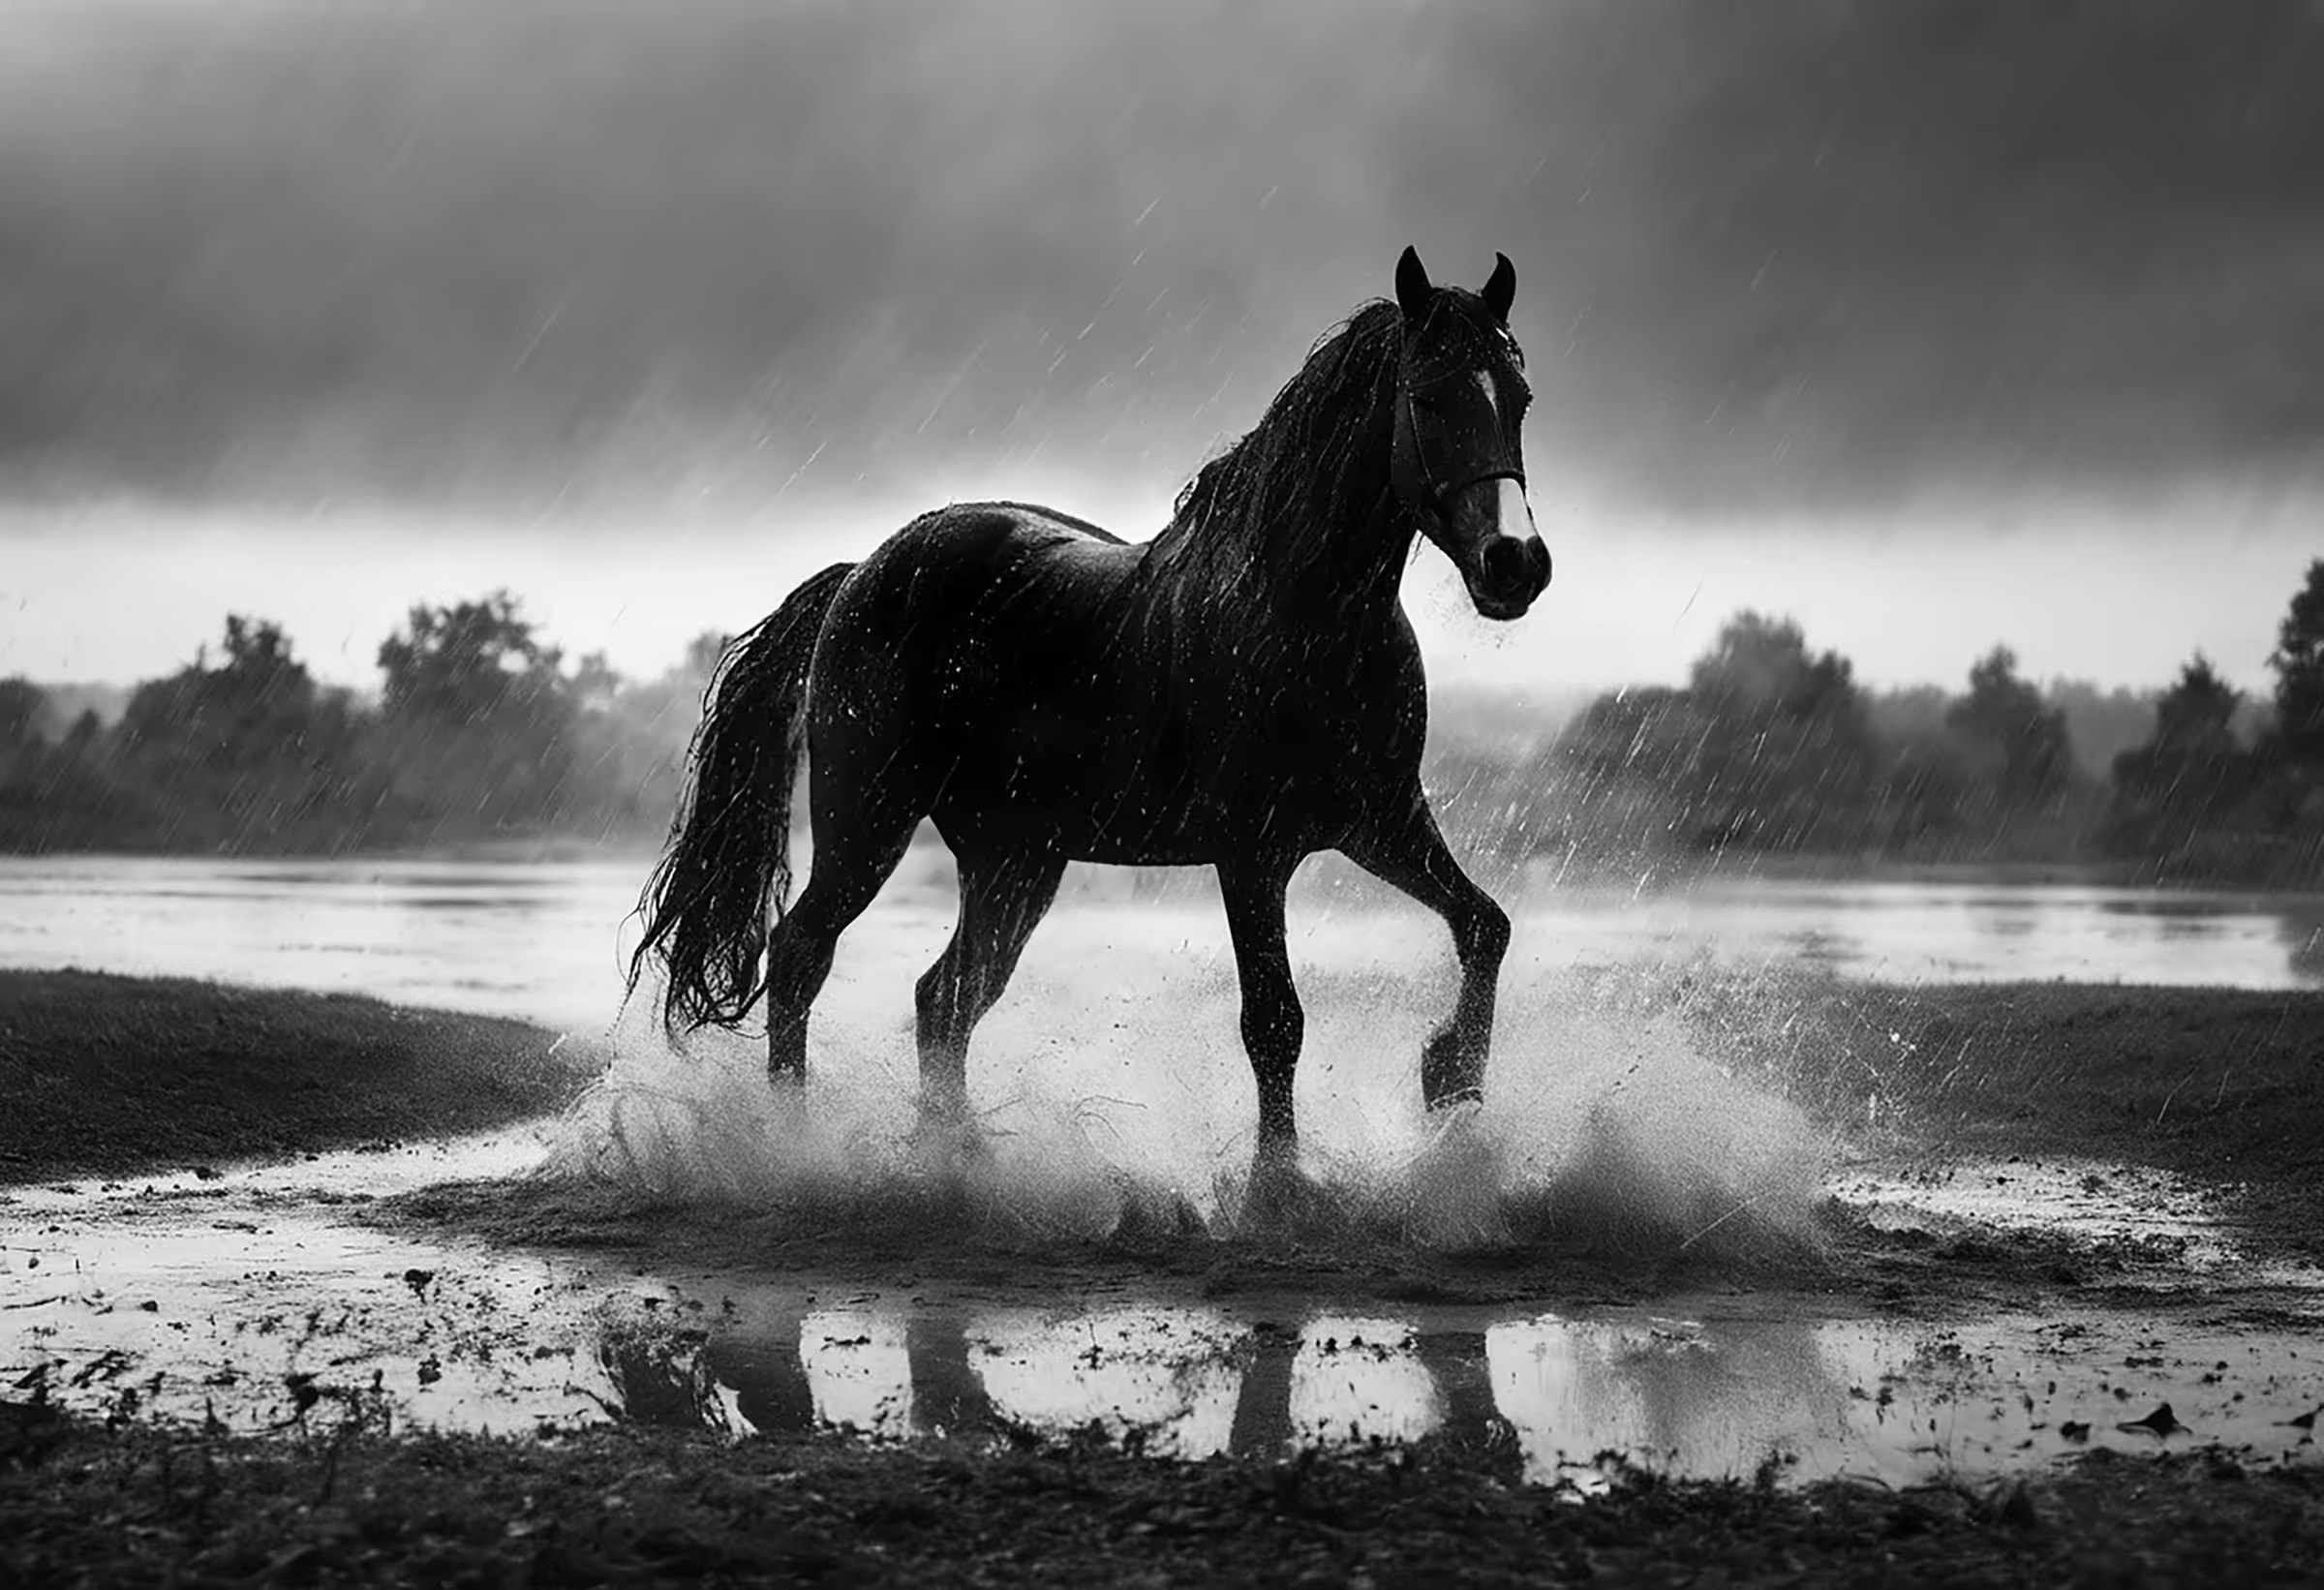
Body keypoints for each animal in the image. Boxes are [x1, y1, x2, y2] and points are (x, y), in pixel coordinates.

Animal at [628, 246, 1550, 1207]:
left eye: (1519, 398)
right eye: (1428, 397)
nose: (1514, 565)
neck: (1297, 614)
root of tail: (862, 574)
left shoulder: (1382, 822)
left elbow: (1484, 925)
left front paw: (1450, 1078)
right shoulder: (1252, 854)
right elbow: (1274, 1020)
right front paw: (1278, 1186)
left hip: (1013, 866)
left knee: (942, 998)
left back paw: (956, 1161)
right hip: (866, 827)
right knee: (804, 956)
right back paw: (793, 1150)